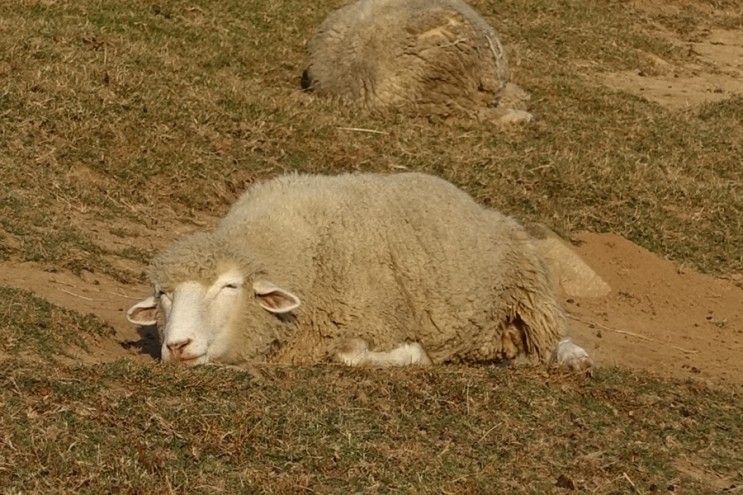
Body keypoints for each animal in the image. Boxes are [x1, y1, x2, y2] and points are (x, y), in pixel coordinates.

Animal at [128, 173, 592, 372]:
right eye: (163, 294)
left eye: (230, 286)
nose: (177, 345)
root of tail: (476, 204)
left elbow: (351, 355)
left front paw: (415, 355)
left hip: (528, 285)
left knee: (556, 336)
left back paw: (574, 359)